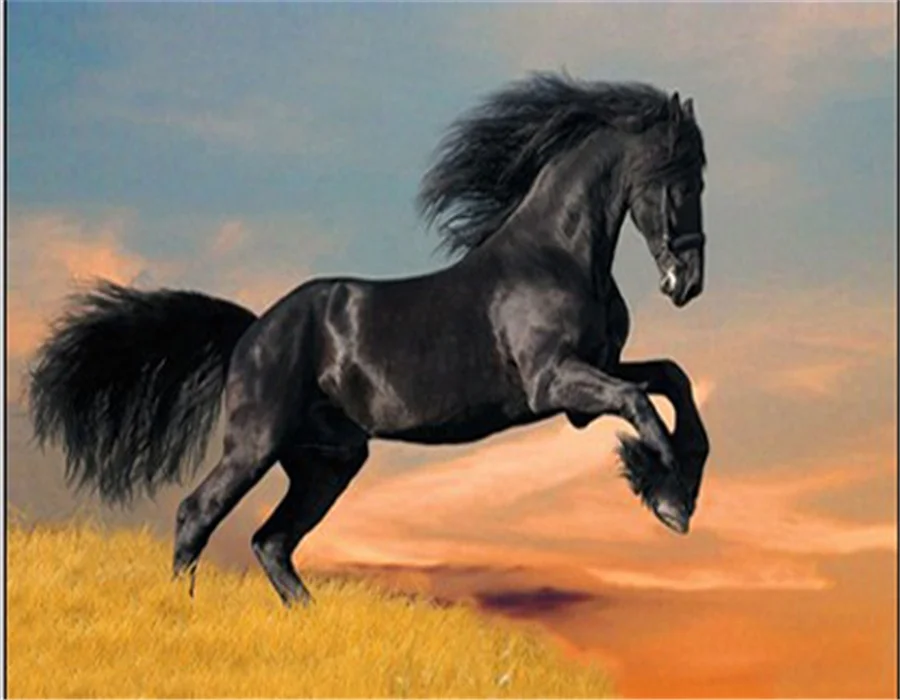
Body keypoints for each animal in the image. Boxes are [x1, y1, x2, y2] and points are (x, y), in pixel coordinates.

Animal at [29, 73, 710, 607]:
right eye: (682, 180)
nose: (688, 282)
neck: (556, 256)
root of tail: (251, 330)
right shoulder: (555, 383)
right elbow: (642, 403)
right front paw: (667, 496)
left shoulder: (595, 374)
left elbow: (673, 379)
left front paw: (675, 485)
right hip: (256, 444)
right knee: (199, 514)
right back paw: (183, 612)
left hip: (329, 460)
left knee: (271, 541)